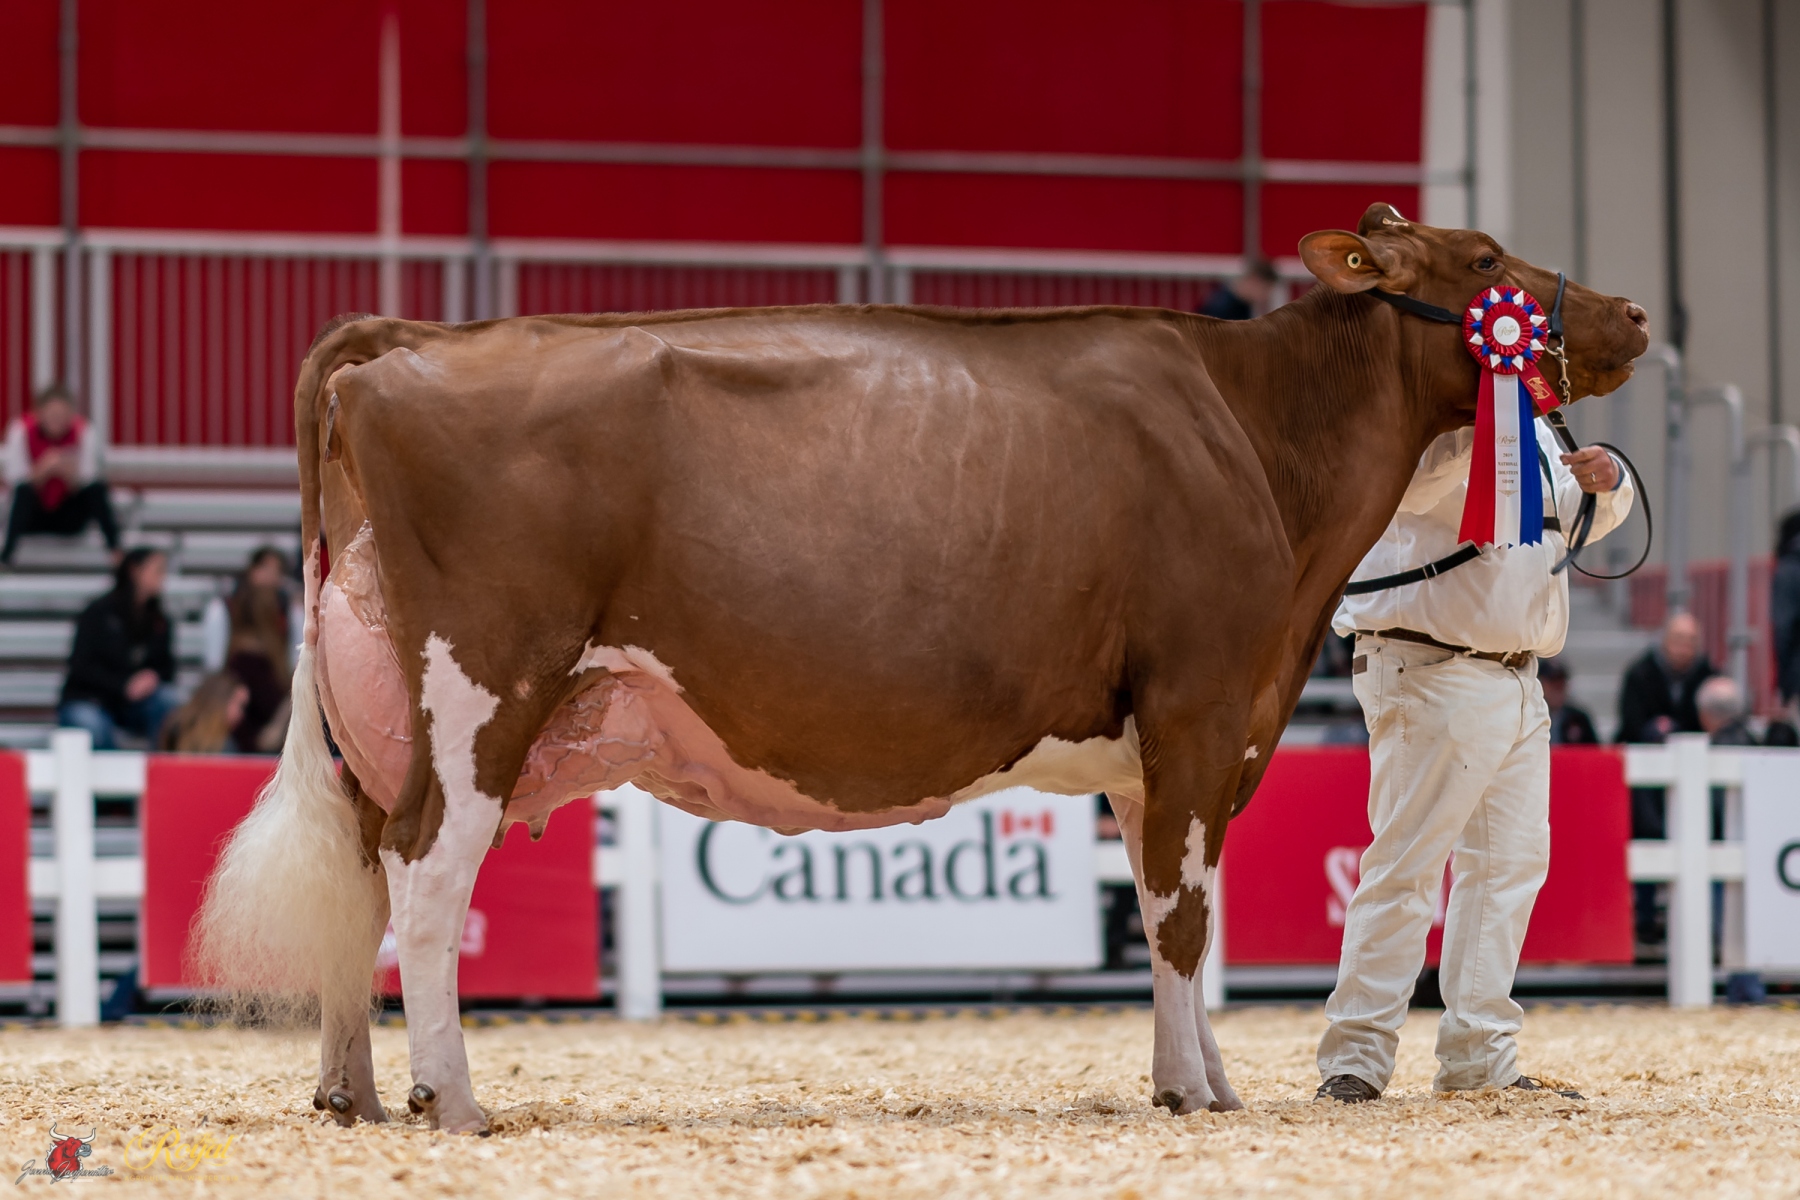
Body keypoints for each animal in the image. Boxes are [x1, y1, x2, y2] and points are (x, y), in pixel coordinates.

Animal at [195, 204, 1648, 1133]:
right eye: (1480, 260)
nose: (1632, 310)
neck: (1259, 440)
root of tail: (405, 340)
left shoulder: (1166, 741)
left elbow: (1166, 908)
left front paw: (1204, 1079)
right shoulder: (1198, 700)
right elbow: (1184, 915)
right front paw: (1194, 1091)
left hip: (378, 717)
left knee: (361, 873)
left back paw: (351, 1094)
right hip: (480, 687)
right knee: (429, 880)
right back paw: (448, 1097)